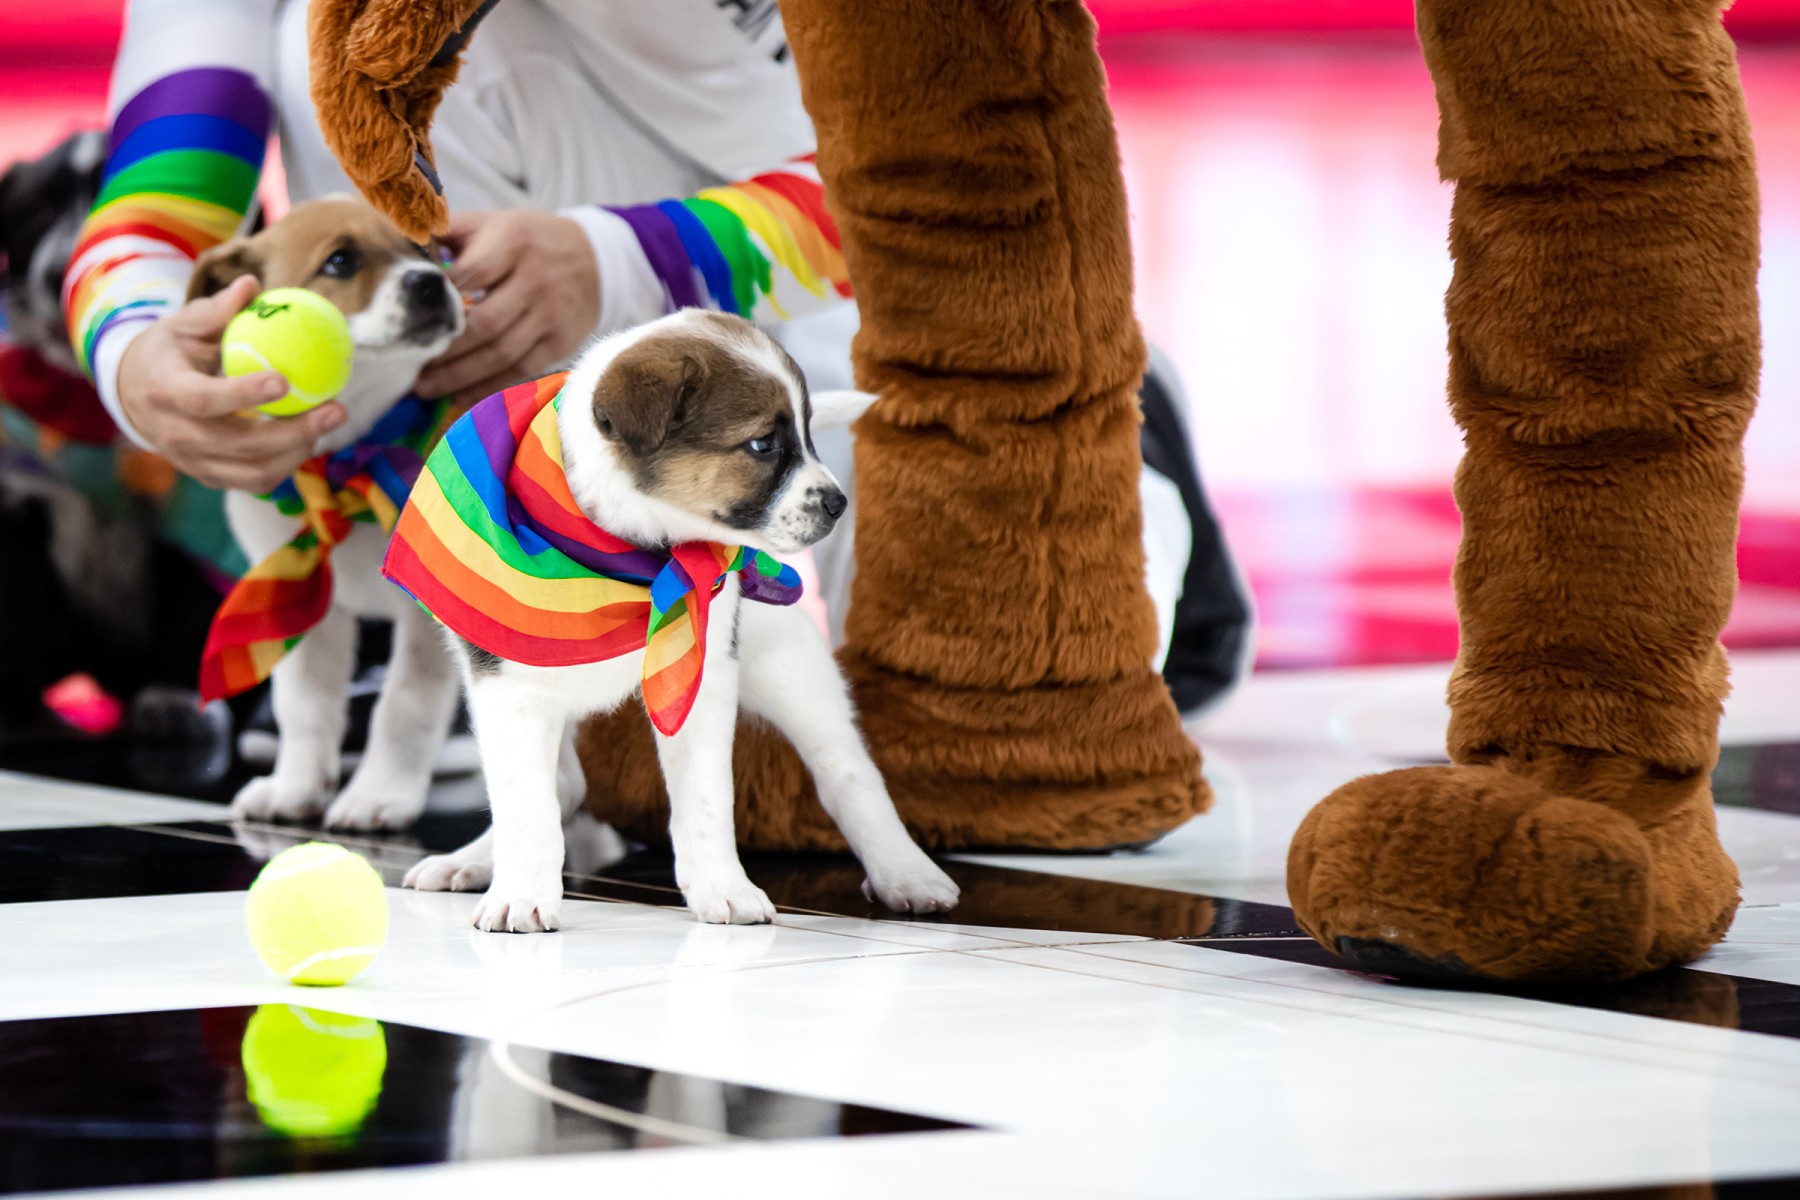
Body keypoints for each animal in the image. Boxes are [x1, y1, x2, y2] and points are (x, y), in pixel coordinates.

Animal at [188, 195, 466, 830]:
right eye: (340, 261)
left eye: (424, 249)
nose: (430, 282)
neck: (348, 460)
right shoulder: (306, 593)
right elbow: (305, 704)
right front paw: (294, 787)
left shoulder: (427, 616)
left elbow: (405, 704)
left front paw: (381, 794)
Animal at [397, 309, 960, 930]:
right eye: (763, 444)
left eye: (807, 435)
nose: (837, 504)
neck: (637, 553)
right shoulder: (508, 689)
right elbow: (526, 804)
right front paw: (521, 892)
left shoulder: (702, 676)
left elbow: (708, 797)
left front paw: (723, 888)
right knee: (561, 787)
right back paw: (470, 862)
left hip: (792, 670)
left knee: (849, 772)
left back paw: (905, 873)